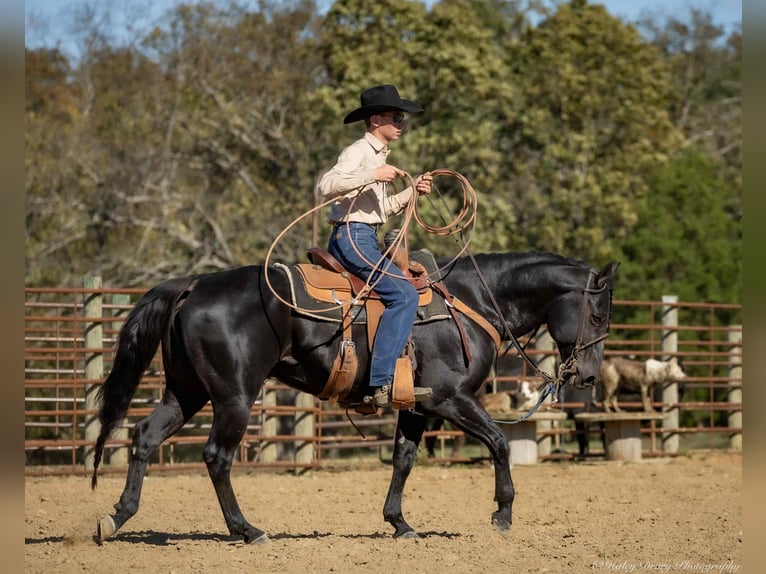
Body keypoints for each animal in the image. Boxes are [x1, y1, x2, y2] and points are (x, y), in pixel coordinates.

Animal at [91, 250, 619, 544]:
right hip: (233, 398)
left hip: (187, 391)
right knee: (217, 457)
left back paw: (116, 518)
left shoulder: (418, 406)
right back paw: (247, 530)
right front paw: (503, 513)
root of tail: (195, 285)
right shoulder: (451, 399)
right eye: (596, 316)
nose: (589, 375)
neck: (472, 301)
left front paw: (399, 523)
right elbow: (500, 443)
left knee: (144, 436)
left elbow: (403, 460)